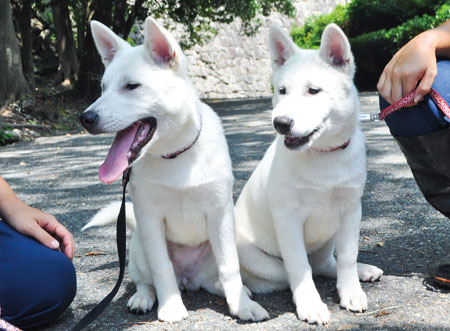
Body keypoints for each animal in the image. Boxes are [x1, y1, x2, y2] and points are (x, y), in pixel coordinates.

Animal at [79, 16, 268, 324]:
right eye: (103, 88)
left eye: (132, 86)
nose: (85, 118)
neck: (175, 154)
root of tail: (189, 280)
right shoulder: (150, 218)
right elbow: (161, 267)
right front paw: (170, 306)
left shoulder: (221, 213)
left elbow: (230, 266)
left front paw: (241, 305)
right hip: (139, 244)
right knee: (144, 280)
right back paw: (144, 297)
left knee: (217, 277)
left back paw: (235, 290)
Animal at [236, 24, 384, 326]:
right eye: (281, 90)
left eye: (313, 91)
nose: (280, 123)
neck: (323, 154)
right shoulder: (288, 218)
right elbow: (299, 267)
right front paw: (310, 304)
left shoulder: (351, 210)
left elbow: (347, 256)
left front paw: (351, 291)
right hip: (260, 259)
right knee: (299, 271)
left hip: (328, 239)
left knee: (325, 264)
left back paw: (362, 270)